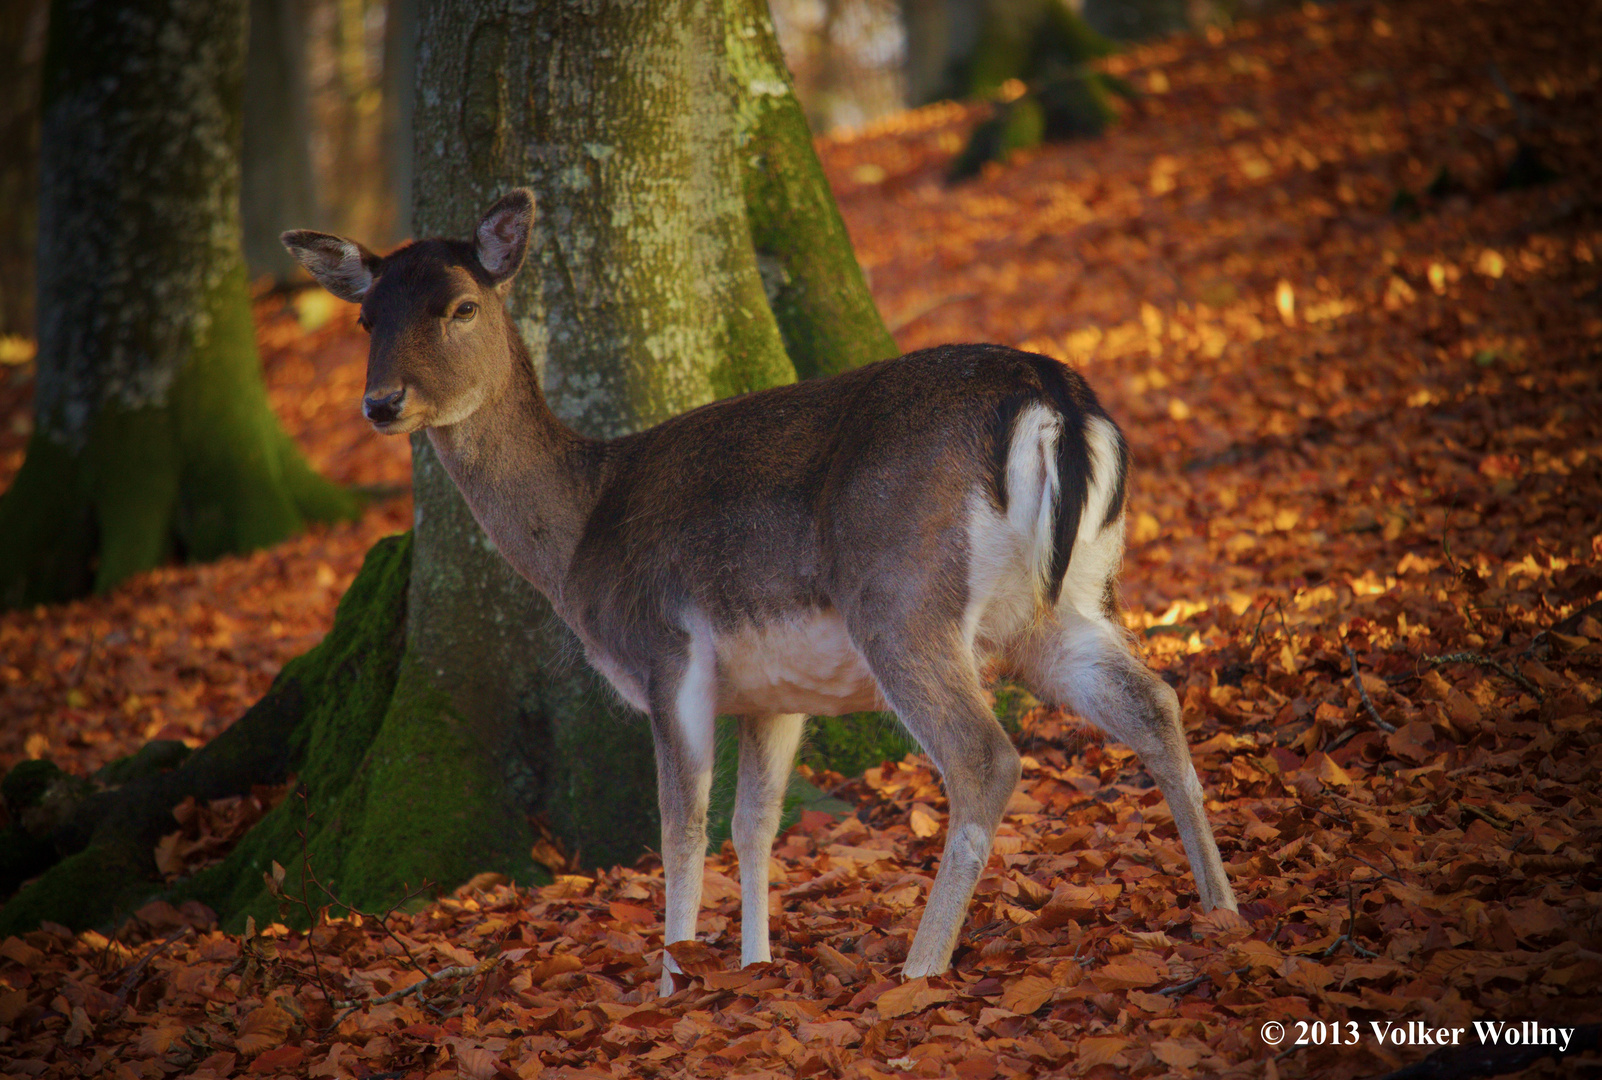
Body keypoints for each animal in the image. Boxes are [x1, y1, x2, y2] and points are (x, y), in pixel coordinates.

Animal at [285, 187, 1236, 993]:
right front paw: (752, 966)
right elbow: (753, 825)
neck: (579, 529)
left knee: (985, 754)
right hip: (1064, 604)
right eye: (367, 316)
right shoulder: (774, 692)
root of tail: (1056, 401)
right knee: (1153, 699)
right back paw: (1223, 913)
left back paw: (920, 968)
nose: (382, 402)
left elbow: (679, 828)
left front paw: (672, 984)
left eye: (461, 307)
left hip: (901, 597)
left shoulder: (666, 650)